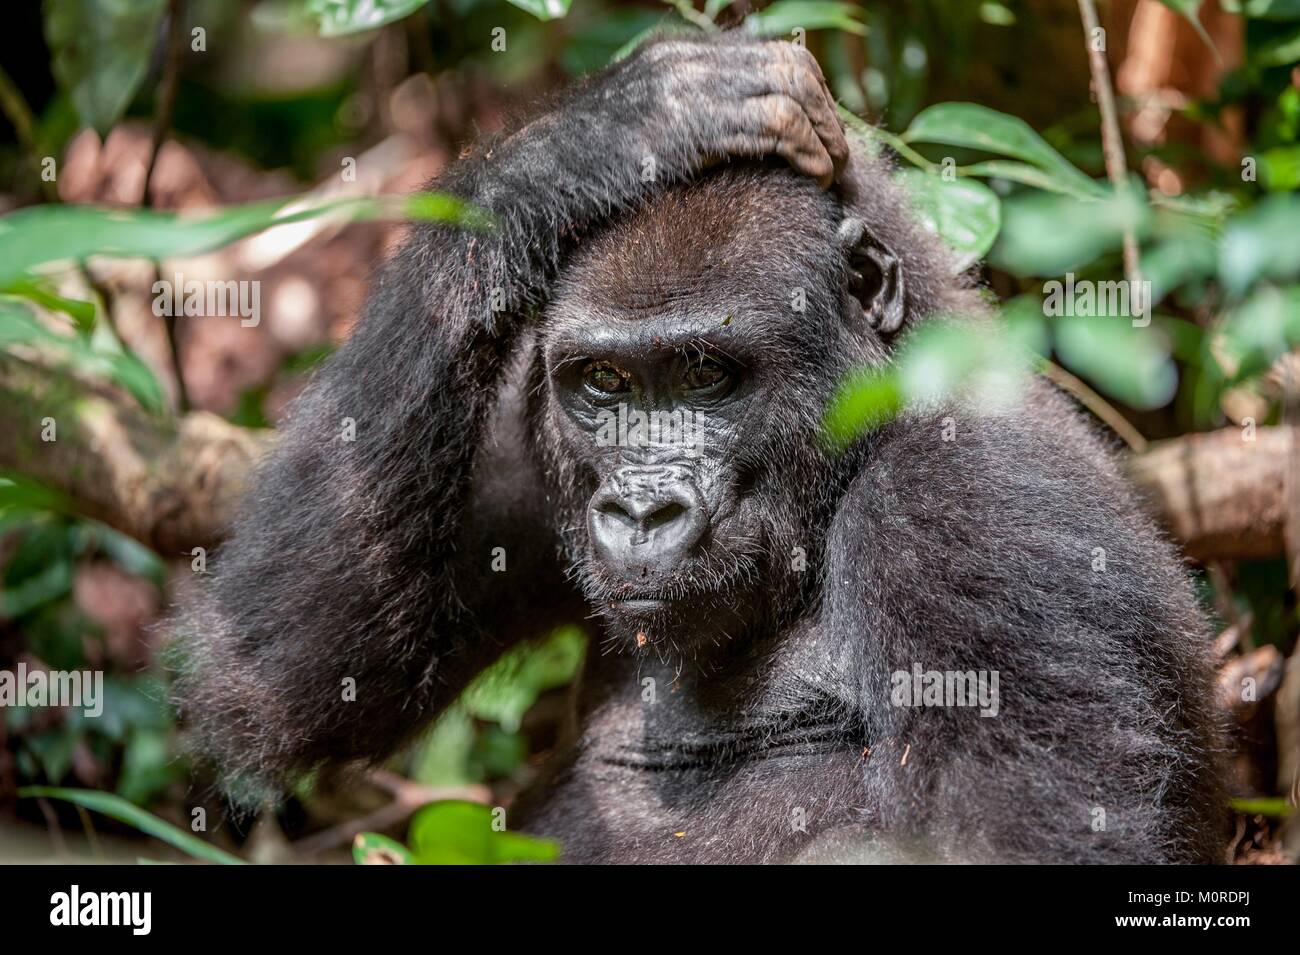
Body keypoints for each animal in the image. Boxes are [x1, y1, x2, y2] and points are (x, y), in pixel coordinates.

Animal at [172, 32, 1227, 863]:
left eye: (709, 372)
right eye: (605, 383)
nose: (642, 509)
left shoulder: (979, 509)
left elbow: (1016, 838)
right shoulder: (526, 446)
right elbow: (285, 670)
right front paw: (611, 131)